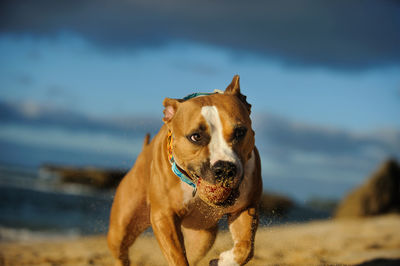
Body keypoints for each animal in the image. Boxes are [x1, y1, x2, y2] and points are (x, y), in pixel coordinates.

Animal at [107, 76, 262, 264]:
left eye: (240, 132)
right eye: (195, 136)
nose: (225, 168)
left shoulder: (245, 207)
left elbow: (245, 248)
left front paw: (223, 261)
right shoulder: (164, 217)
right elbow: (178, 257)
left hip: (203, 237)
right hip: (120, 229)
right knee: (121, 252)